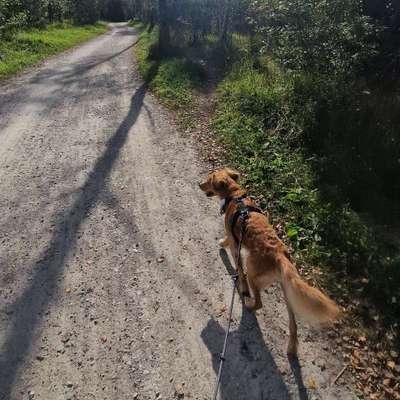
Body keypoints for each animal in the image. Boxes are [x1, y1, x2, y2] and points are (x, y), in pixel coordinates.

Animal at [200, 167, 340, 354]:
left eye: (209, 180)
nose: (199, 184)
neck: (235, 194)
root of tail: (280, 255)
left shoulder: (235, 242)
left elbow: (238, 266)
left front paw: (223, 248)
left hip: (254, 273)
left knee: (258, 302)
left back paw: (248, 304)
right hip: (288, 292)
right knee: (293, 324)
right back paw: (292, 347)